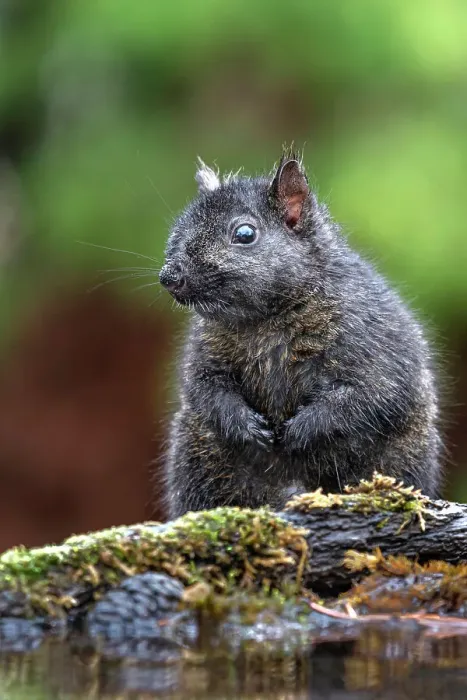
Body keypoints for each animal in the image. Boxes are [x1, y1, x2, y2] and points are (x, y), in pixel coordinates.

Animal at [159, 149, 442, 519]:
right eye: (179, 226)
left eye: (245, 234)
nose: (169, 276)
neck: (268, 318)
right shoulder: (205, 349)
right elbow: (206, 387)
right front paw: (247, 426)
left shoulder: (374, 340)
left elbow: (368, 395)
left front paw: (301, 430)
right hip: (197, 459)